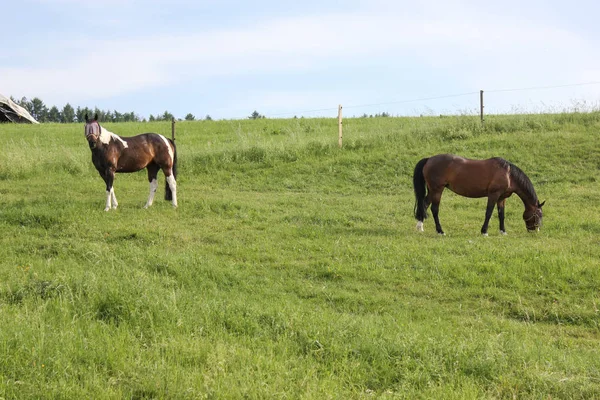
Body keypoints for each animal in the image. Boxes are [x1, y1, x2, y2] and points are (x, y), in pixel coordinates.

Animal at [412, 153, 544, 234]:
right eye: (538, 215)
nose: (535, 231)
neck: (508, 174)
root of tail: (429, 159)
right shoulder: (493, 195)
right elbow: (488, 213)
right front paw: (484, 231)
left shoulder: (502, 198)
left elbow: (501, 214)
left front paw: (503, 231)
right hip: (437, 190)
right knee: (434, 209)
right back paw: (440, 231)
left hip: (432, 190)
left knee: (424, 204)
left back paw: (420, 227)